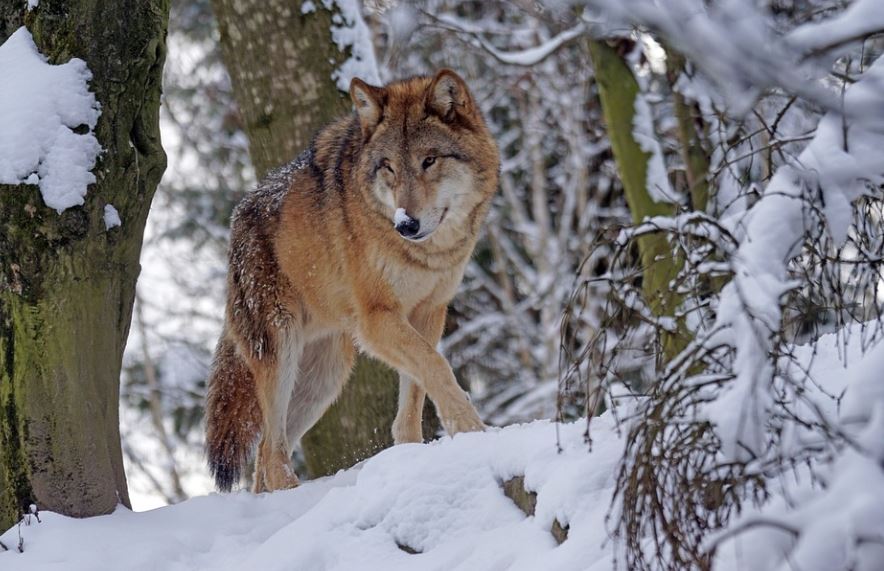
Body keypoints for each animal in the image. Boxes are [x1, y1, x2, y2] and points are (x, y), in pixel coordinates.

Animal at [204, 69, 500, 492]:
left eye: (429, 161)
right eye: (388, 166)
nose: (406, 224)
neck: (426, 255)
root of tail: (237, 218)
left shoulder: (429, 312)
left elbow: (416, 391)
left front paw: (413, 454)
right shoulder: (377, 319)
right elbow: (437, 367)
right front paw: (472, 430)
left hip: (324, 378)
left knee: (264, 456)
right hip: (281, 351)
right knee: (271, 452)